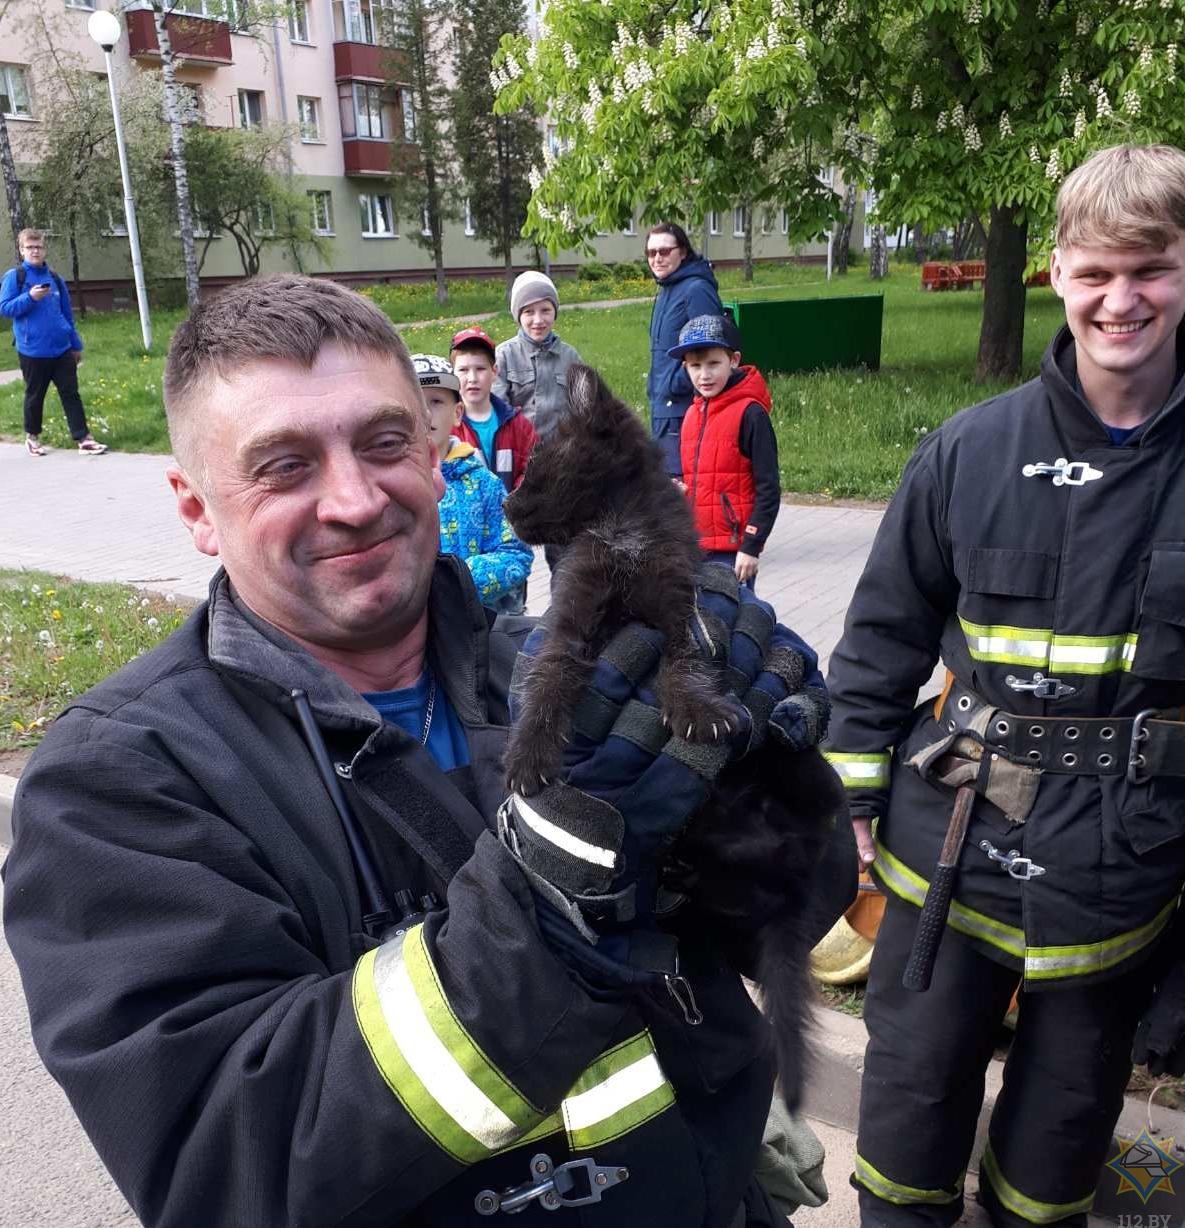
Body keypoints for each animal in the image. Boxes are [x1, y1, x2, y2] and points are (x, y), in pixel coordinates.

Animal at [503, 363, 844, 1115]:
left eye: (535, 466)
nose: (507, 508)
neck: (621, 531)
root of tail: (789, 874)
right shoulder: (571, 621)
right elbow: (546, 682)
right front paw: (528, 759)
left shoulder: (681, 607)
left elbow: (684, 666)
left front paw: (698, 713)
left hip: (802, 788)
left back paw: (781, 734)